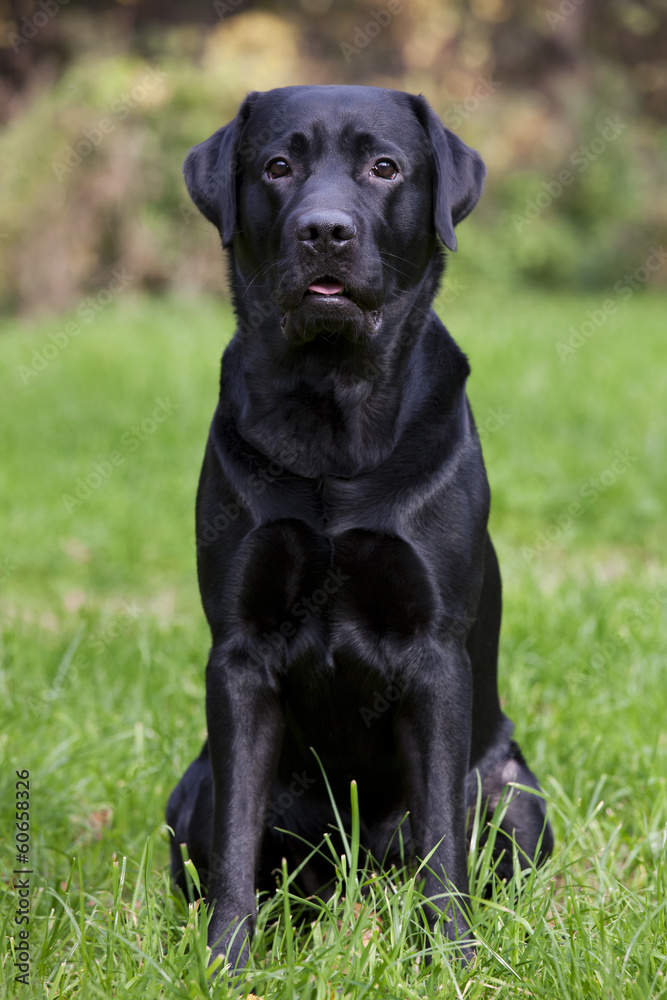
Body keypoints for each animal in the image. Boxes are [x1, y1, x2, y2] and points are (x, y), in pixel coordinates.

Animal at [167, 82, 552, 972]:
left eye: (384, 167)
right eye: (277, 165)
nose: (324, 231)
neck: (333, 418)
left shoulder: (435, 652)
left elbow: (441, 834)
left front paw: (453, 959)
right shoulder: (238, 656)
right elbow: (236, 839)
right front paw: (226, 963)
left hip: (514, 789)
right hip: (187, 792)